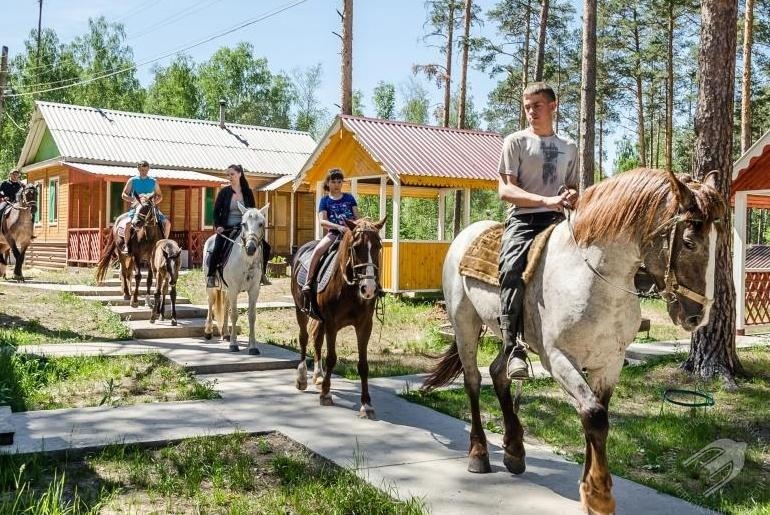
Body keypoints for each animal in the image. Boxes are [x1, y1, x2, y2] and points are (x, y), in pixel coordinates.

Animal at [201, 202, 268, 354]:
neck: (246, 260)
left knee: (226, 307)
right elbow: (235, 315)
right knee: (210, 303)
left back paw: (225, 333)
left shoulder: (254, 291)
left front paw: (252, 346)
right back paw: (208, 331)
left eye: (261, 224)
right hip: (212, 287)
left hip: (227, 290)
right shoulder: (233, 289)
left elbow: (251, 316)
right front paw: (233, 344)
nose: (250, 248)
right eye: (244, 224)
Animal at [288, 218, 384, 420]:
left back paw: (318, 375)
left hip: (320, 320)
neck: (349, 288)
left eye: (378, 246)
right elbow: (331, 358)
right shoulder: (332, 323)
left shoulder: (365, 325)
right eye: (356, 247)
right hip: (300, 309)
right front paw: (326, 394)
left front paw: (366, 405)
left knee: (316, 341)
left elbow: (363, 365)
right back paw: (302, 378)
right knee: (304, 339)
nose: (369, 289)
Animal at [424, 170, 724, 515]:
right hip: (465, 324)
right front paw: (600, 495)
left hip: (505, 336)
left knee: (500, 372)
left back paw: (514, 450)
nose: (697, 316)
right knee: (473, 380)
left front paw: (589, 487)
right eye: (689, 243)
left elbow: (595, 416)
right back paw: (479, 454)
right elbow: (593, 414)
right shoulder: (557, 358)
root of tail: (466, 235)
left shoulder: (609, 361)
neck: (592, 278)